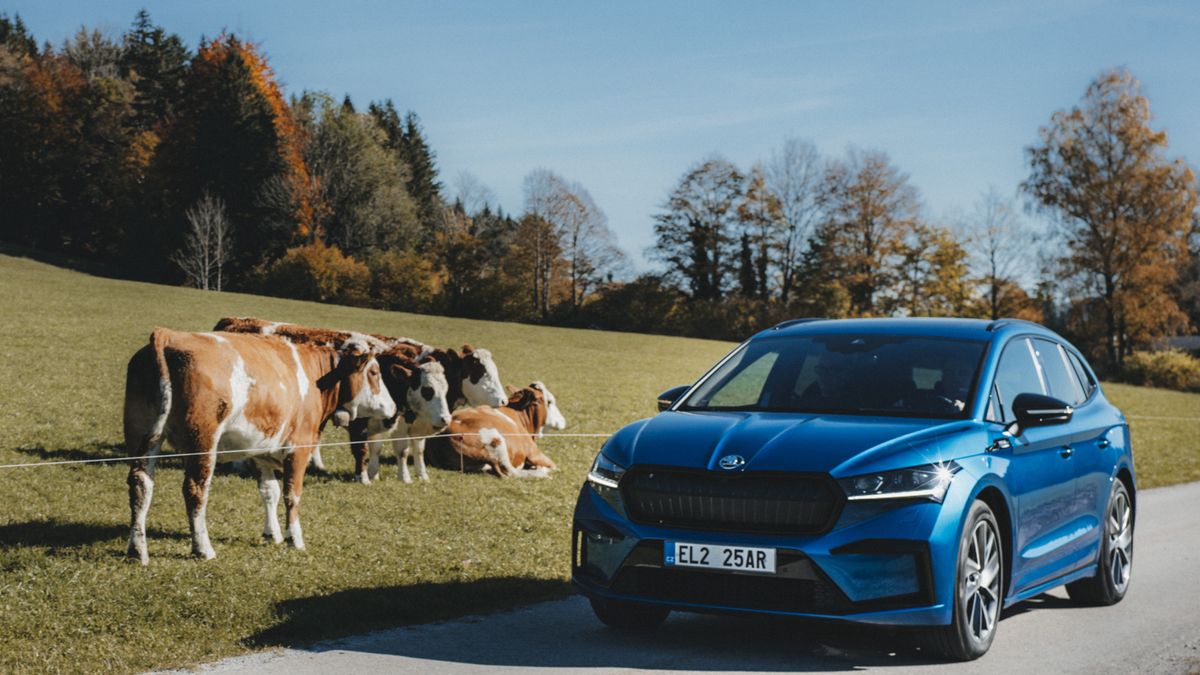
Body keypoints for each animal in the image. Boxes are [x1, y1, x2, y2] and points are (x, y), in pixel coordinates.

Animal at [123, 326, 393, 562]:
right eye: (374, 373)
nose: (392, 408)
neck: (319, 377)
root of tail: (169, 336)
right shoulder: (299, 449)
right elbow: (292, 494)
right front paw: (294, 539)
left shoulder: (261, 451)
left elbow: (269, 492)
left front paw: (272, 533)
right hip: (203, 441)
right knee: (195, 490)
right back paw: (203, 549)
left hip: (144, 436)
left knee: (140, 485)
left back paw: (137, 550)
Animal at [424, 381, 564, 475]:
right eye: (549, 401)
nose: (563, 421)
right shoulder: (534, 452)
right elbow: (554, 465)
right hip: (497, 441)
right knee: (511, 472)